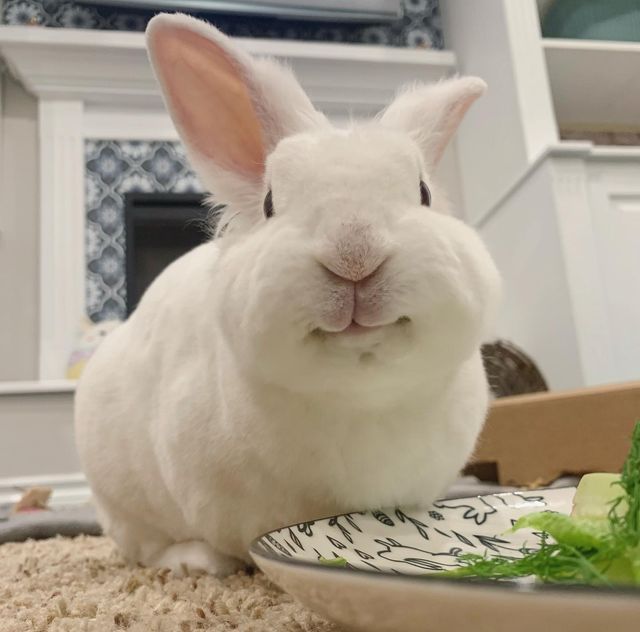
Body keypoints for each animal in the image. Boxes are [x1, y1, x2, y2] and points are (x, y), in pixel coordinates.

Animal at [74, 13, 500, 576]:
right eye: (272, 203)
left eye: (424, 193)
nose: (354, 253)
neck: (361, 396)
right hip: (124, 504)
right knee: (146, 547)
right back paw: (193, 562)